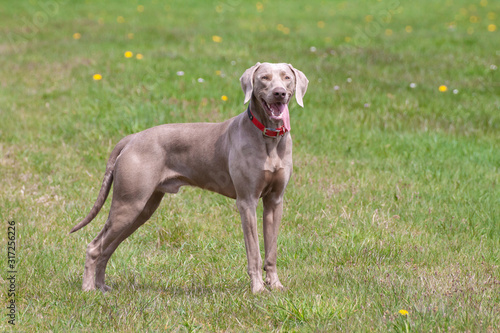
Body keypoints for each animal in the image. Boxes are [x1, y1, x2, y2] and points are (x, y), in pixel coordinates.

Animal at [71, 63, 308, 294]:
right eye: (264, 78)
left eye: (287, 77)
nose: (280, 93)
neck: (269, 137)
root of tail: (131, 138)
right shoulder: (247, 201)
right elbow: (254, 252)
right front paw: (258, 289)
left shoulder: (275, 201)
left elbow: (271, 251)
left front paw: (275, 286)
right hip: (129, 204)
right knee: (94, 246)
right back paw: (88, 289)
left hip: (142, 208)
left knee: (107, 247)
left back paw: (101, 286)